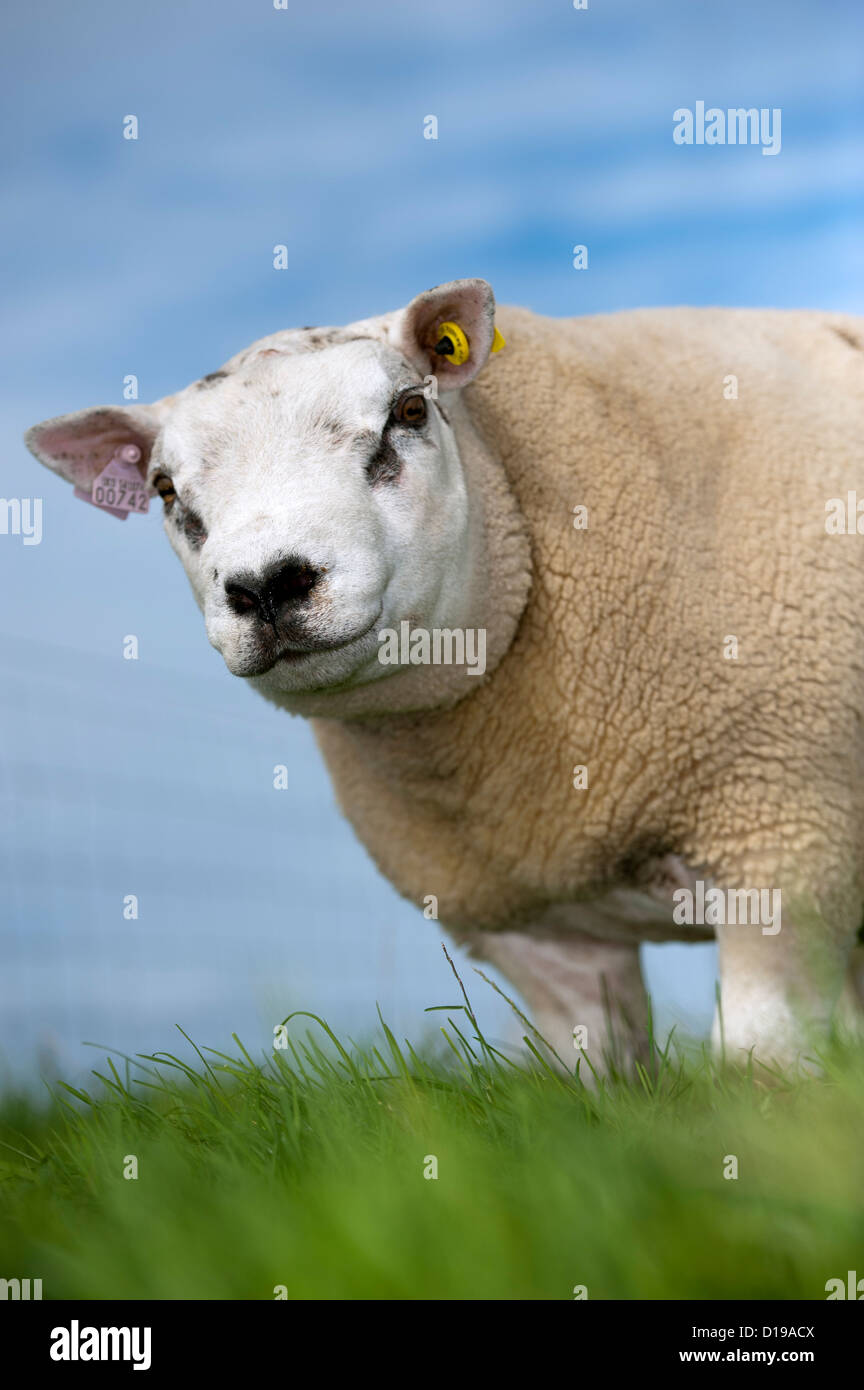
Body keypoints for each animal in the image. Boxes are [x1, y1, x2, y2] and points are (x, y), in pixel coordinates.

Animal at [25, 276, 864, 1067]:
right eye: (165, 488)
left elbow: (760, 1062)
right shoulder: (540, 935)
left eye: (408, 411)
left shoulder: (778, 844)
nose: (267, 586)